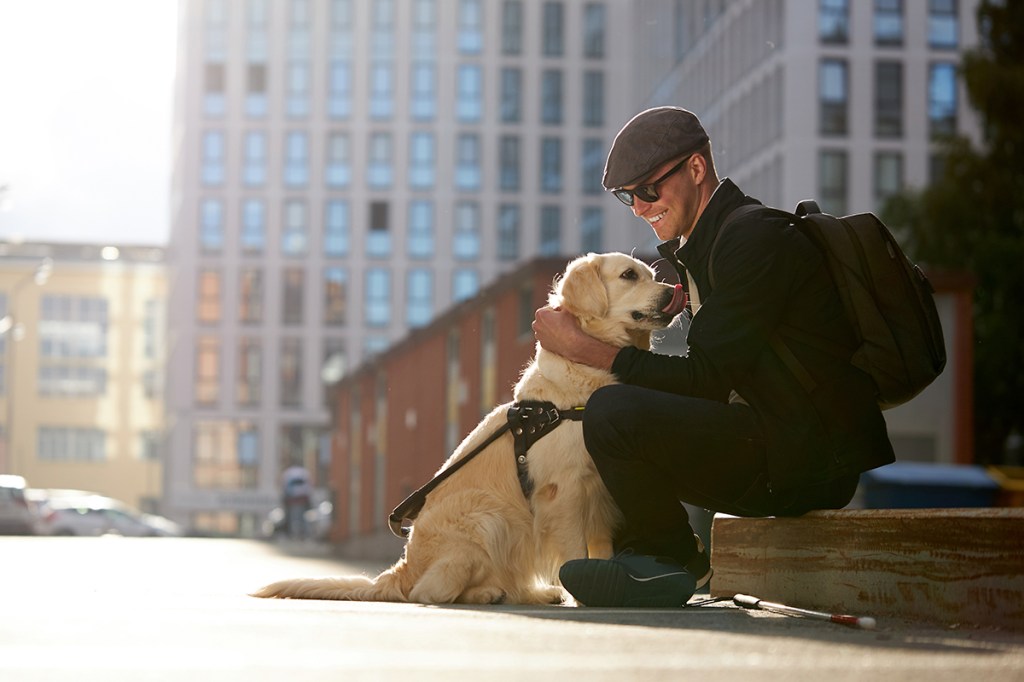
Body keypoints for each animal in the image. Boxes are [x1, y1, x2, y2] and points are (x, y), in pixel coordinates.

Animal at [253, 251, 688, 602]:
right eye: (628, 275)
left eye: (651, 275)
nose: (673, 292)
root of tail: (399, 571)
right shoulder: (563, 491)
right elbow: (574, 553)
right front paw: (584, 593)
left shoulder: (599, 495)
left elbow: (600, 552)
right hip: (486, 517)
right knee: (431, 593)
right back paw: (487, 593)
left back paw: (534, 594)